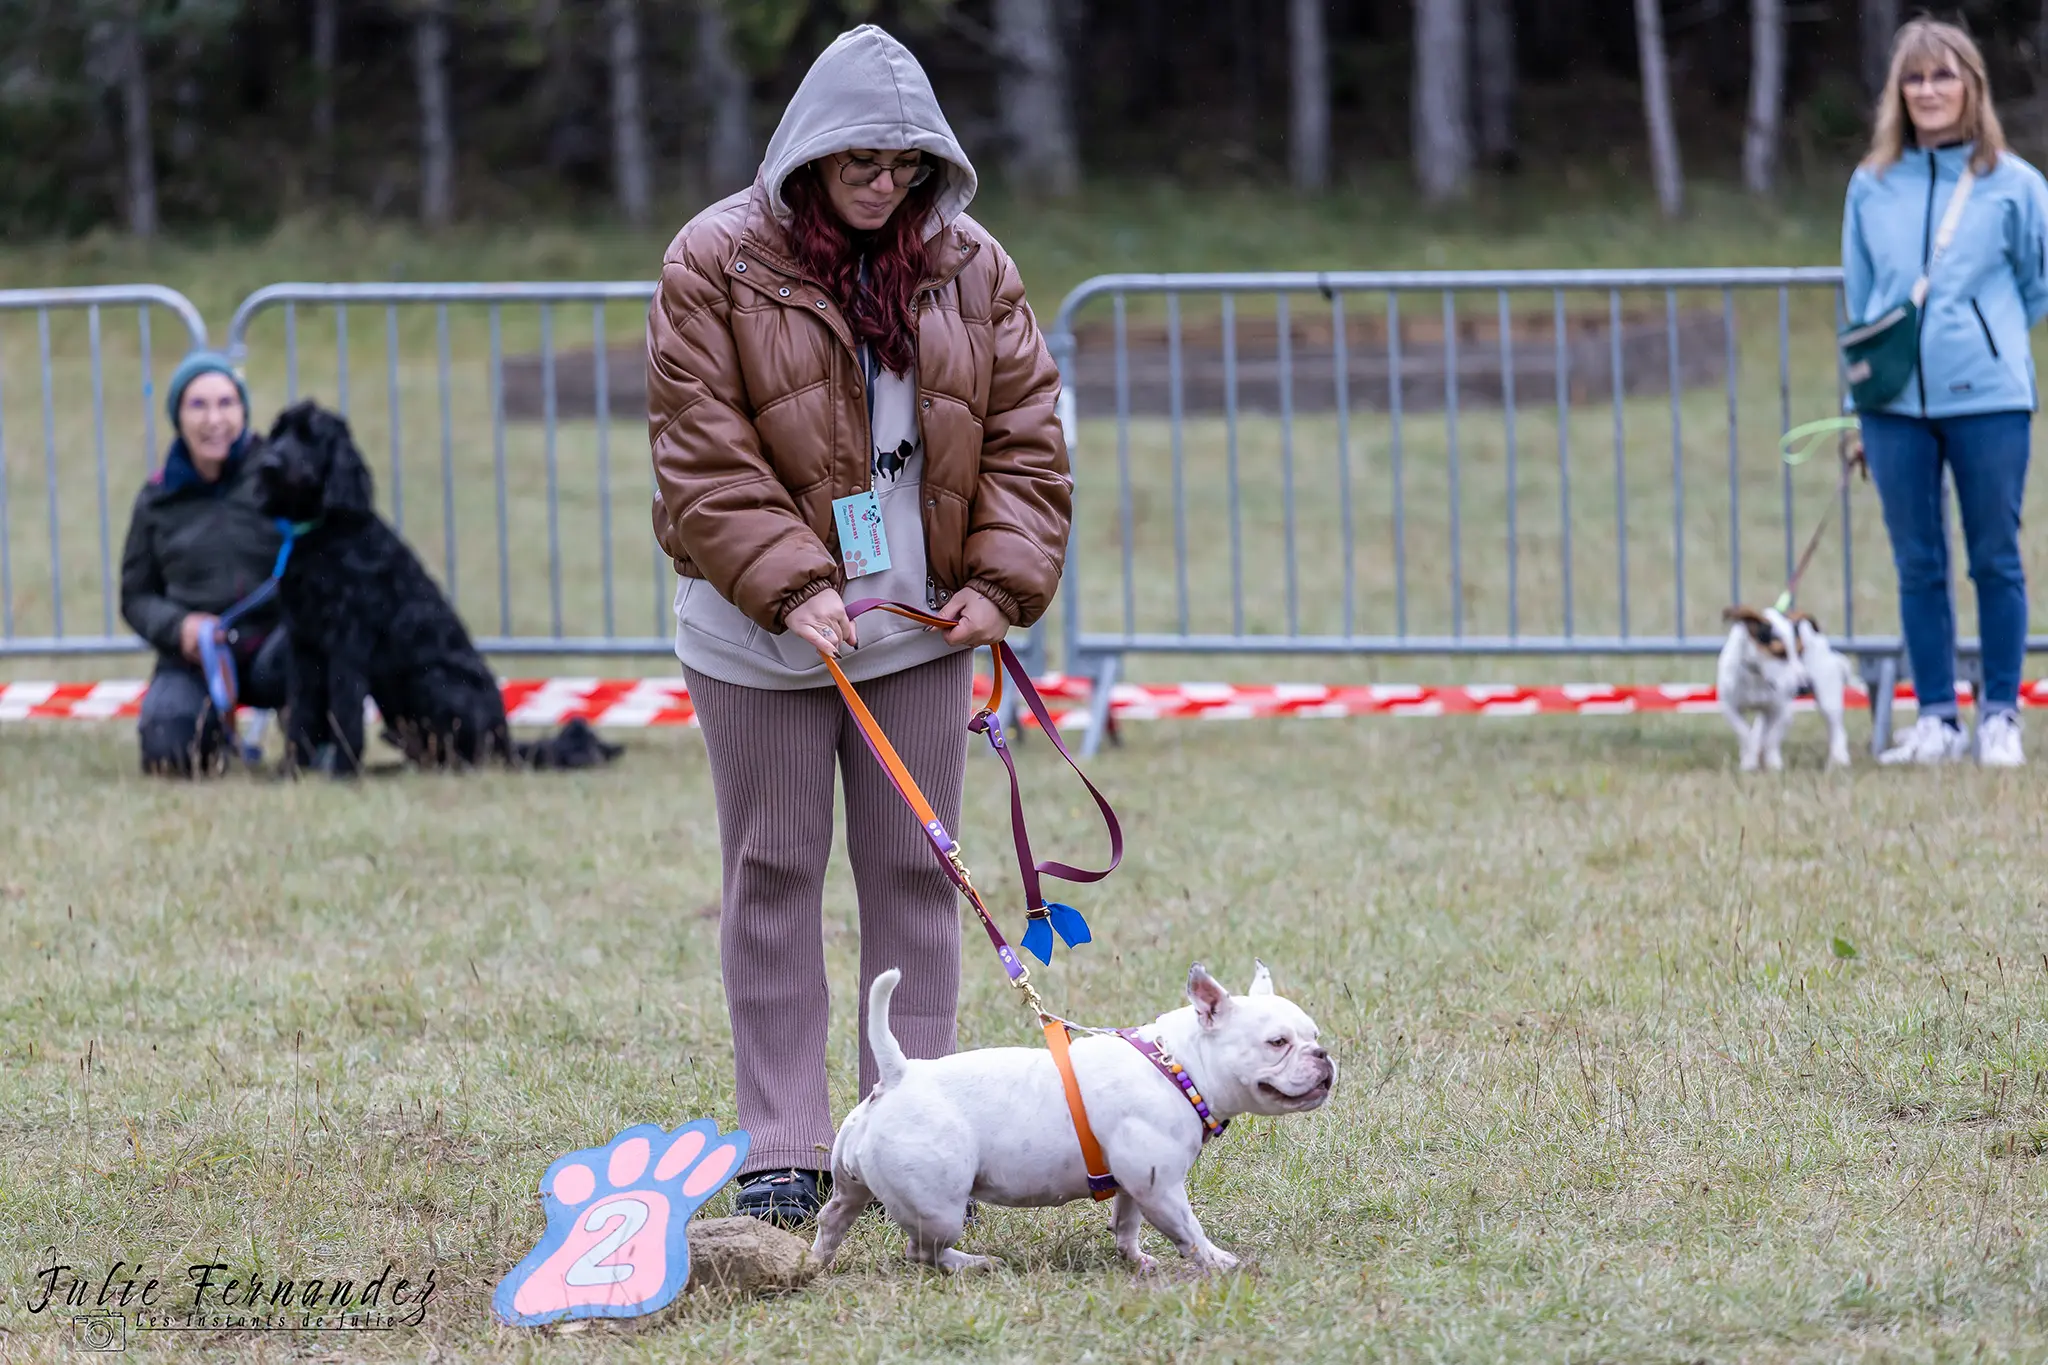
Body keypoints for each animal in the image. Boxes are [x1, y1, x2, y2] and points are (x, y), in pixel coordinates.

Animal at [250, 401, 614, 773]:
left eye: (309, 436)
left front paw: (341, 770)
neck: (324, 534)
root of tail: (507, 743)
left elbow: (345, 711)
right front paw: (293, 769)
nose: (268, 465)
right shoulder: (304, 645)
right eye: (278, 433)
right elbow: (303, 712)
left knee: (468, 753)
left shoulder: (347, 644)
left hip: (433, 679)